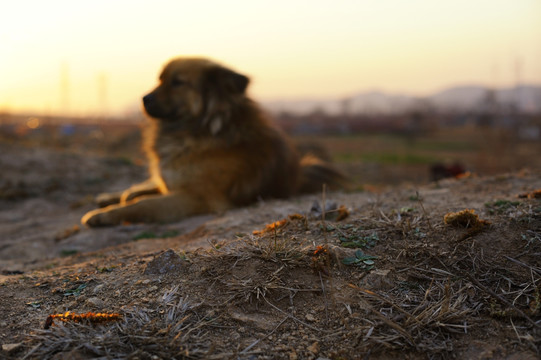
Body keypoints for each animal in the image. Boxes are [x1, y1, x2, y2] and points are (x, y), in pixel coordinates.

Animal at [82, 57, 348, 226]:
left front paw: (102, 216)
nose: (144, 99)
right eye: (160, 79)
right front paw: (108, 206)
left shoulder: (198, 197)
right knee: (140, 186)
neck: (200, 130)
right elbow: (142, 194)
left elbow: (143, 204)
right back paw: (110, 195)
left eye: (177, 82)